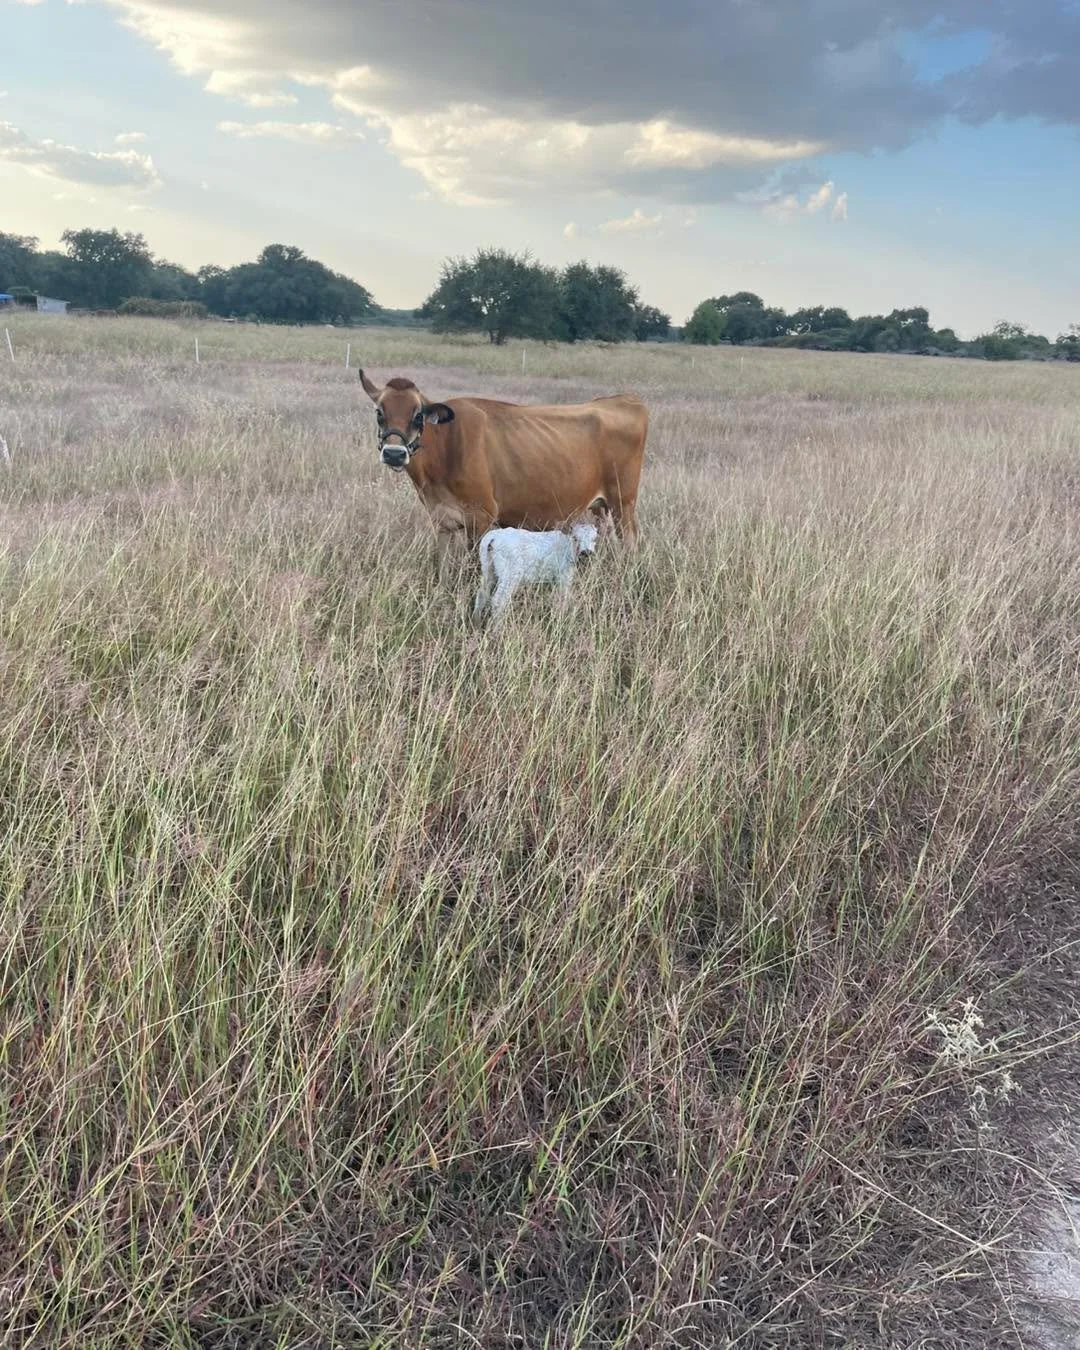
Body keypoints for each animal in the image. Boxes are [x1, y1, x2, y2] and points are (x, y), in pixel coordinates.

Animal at [357, 370, 647, 579]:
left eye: (418, 416)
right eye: (379, 413)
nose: (394, 454)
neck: (446, 446)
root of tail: (623, 399)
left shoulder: (482, 517)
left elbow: (477, 568)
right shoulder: (441, 519)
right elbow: (442, 568)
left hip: (623, 502)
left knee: (631, 540)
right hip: (601, 506)